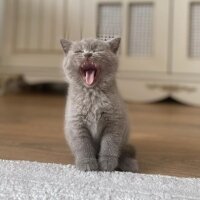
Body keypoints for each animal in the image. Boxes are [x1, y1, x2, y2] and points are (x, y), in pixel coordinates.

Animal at [61, 37, 138, 172]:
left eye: (97, 50)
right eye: (79, 51)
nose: (88, 54)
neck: (92, 95)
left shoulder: (114, 122)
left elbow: (109, 144)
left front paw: (107, 164)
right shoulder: (77, 124)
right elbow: (83, 146)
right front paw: (87, 164)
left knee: (123, 151)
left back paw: (129, 164)